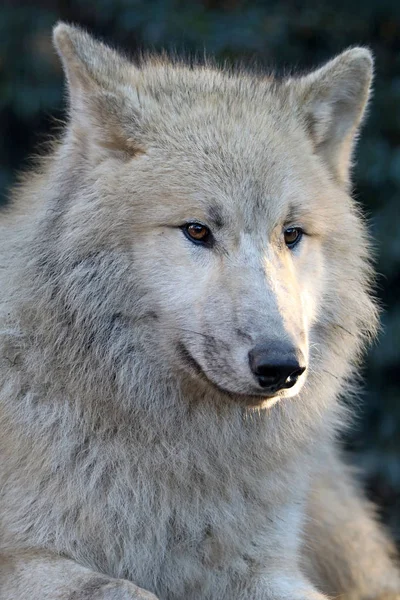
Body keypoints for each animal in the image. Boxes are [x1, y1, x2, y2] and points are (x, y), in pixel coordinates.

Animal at [0, 22, 400, 600]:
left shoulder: (265, 568)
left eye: (291, 234)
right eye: (196, 230)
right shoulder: (22, 557)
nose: (282, 367)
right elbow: (126, 589)